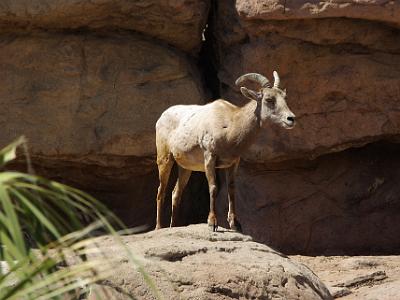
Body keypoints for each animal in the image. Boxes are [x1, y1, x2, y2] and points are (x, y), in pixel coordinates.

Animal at [155, 71, 296, 231]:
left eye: (284, 98)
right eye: (269, 99)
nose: (291, 119)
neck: (230, 126)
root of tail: (161, 118)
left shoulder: (233, 163)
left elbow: (231, 189)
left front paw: (235, 224)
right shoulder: (210, 158)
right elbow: (213, 188)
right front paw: (212, 223)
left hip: (185, 168)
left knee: (175, 193)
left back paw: (173, 227)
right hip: (165, 159)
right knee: (161, 191)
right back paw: (159, 227)